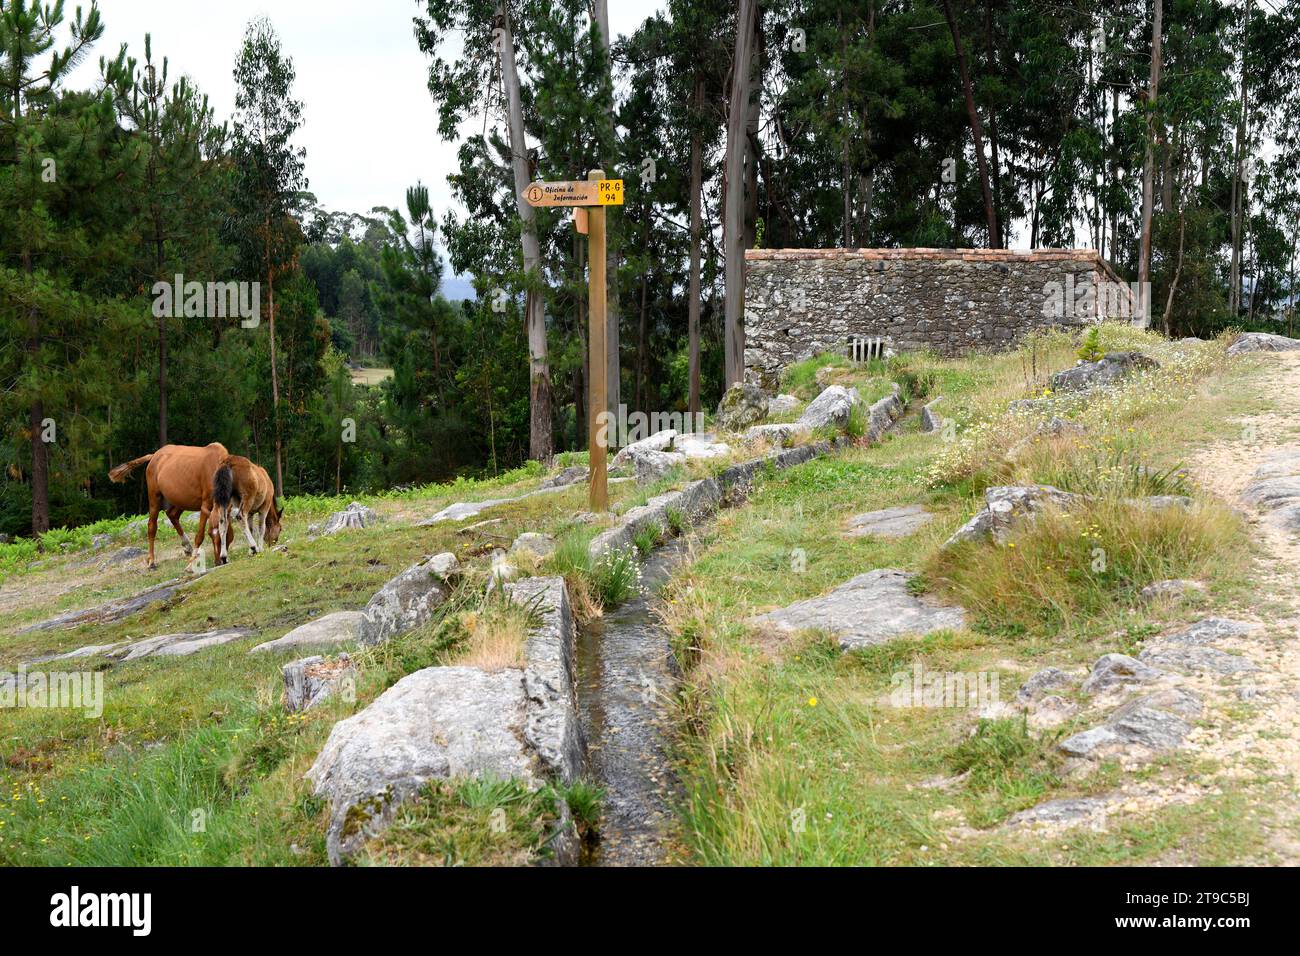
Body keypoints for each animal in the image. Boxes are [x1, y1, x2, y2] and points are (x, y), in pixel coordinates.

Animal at [107, 444, 232, 572]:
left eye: (227, 534)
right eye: (211, 534)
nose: (220, 561)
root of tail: (154, 455)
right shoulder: (206, 505)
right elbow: (199, 536)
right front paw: (190, 565)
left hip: (181, 499)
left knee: (172, 514)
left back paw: (187, 547)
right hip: (155, 497)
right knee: (152, 526)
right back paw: (152, 562)